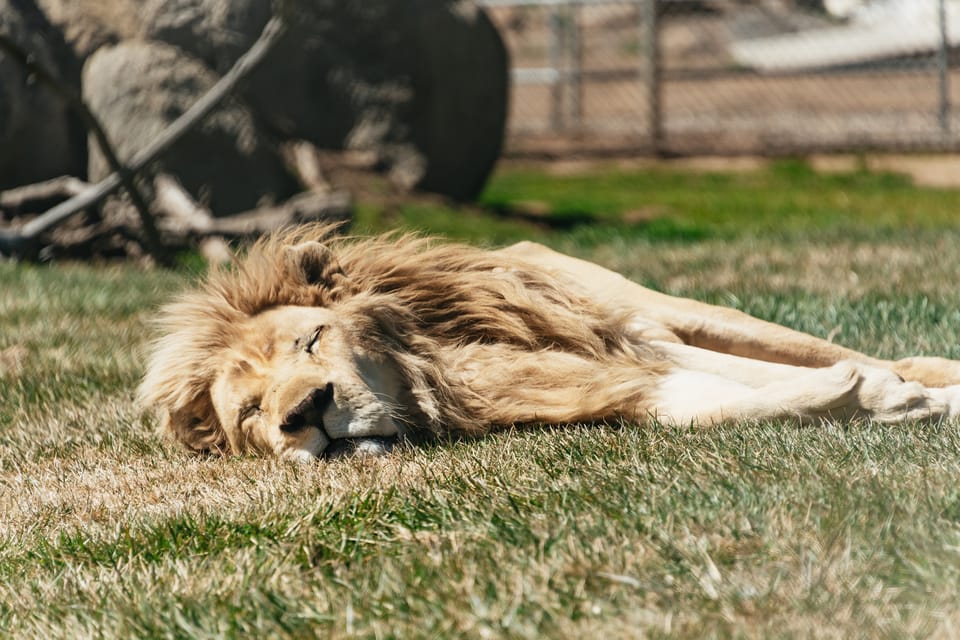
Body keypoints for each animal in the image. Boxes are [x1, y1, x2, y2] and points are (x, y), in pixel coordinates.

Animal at [137, 225, 960, 460]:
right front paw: (884, 401)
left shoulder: (629, 341)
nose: (306, 413)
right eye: (250, 413)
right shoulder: (547, 383)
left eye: (311, 341)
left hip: (657, 308)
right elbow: (695, 405)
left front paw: (900, 395)